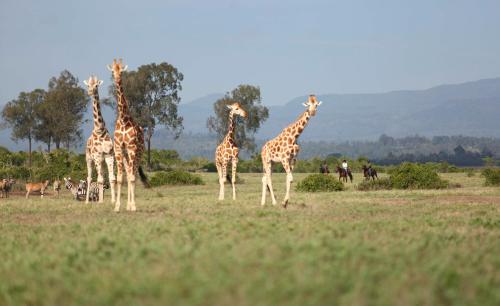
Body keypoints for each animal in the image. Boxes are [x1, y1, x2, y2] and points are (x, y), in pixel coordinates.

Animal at [107, 58, 148, 212]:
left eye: (122, 71)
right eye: (113, 71)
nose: (117, 78)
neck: (124, 120)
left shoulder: (131, 148)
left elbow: (131, 177)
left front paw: (133, 206)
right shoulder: (119, 149)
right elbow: (120, 178)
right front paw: (117, 207)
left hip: (138, 154)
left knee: (133, 174)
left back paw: (131, 205)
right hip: (126, 155)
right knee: (129, 172)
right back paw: (127, 205)